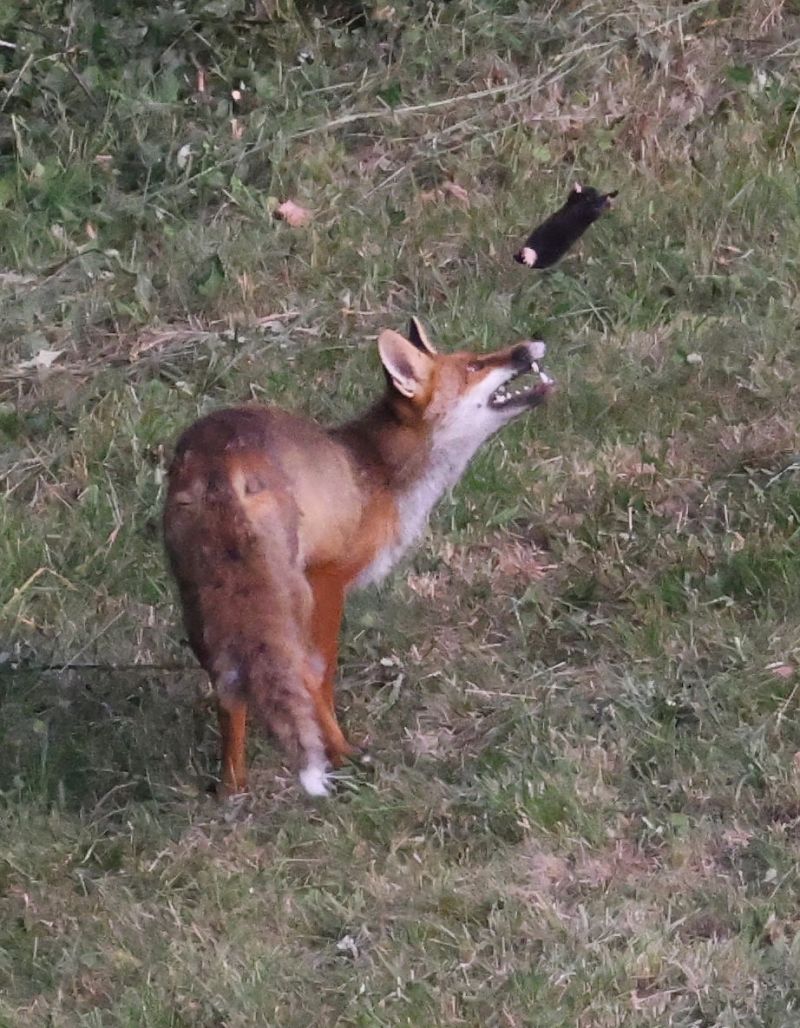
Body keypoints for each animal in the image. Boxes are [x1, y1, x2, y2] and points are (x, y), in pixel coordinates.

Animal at [163, 318, 554, 798]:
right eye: (475, 366)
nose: (531, 345)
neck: (381, 473)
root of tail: (221, 457)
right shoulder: (329, 577)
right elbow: (321, 675)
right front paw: (338, 750)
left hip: (199, 601)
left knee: (227, 686)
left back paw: (232, 789)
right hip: (290, 596)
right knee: (296, 674)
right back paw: (339, 755)